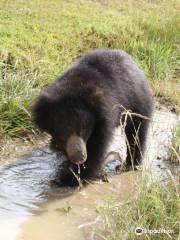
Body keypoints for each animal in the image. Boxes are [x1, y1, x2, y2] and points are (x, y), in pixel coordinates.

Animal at [33, 48, 153, 186]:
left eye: (83, 131)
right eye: (62, 135)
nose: (79, 158)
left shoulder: (104, 116)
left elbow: (97, 148)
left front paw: (70, 178)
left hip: (136, 102)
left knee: (137, 131)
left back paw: (130, 163)